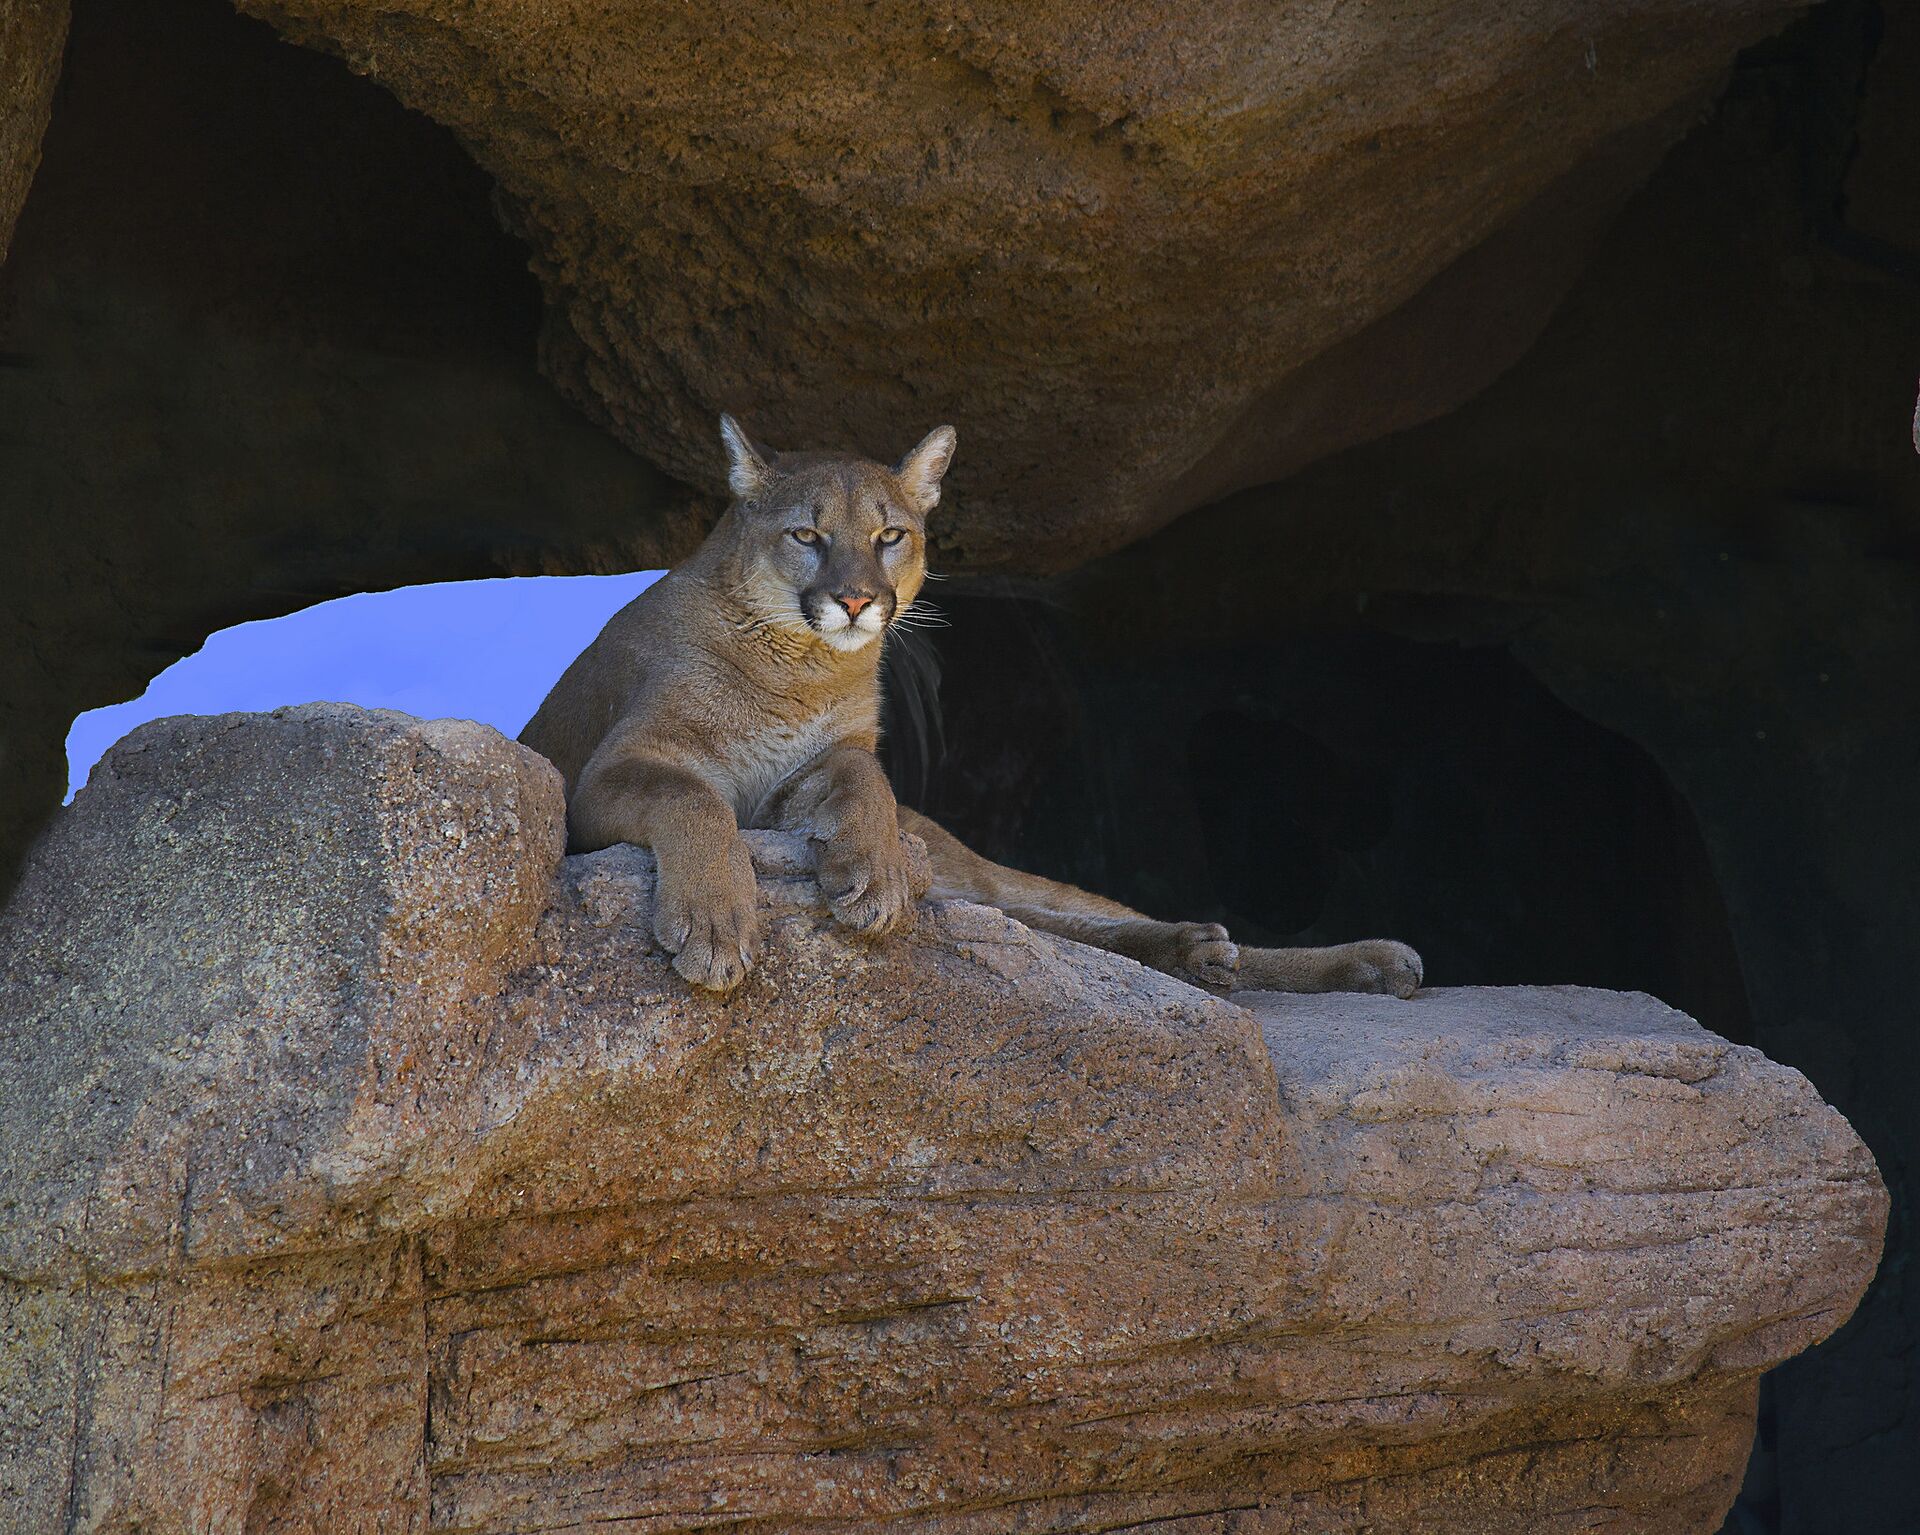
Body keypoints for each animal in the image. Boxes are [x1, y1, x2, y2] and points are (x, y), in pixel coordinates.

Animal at [518, 420, 1420, 998]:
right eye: (807, 534)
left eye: (890, 536)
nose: (856, 601)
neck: (804, 668)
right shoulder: (610, 771)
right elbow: (694, 797)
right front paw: (714, 923)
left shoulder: (815, 766)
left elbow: (862, 772)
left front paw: (876, 868)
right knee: (1053, 930)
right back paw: (1209, 954)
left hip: (976, 869)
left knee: (1069, 915)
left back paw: (1355, 958)